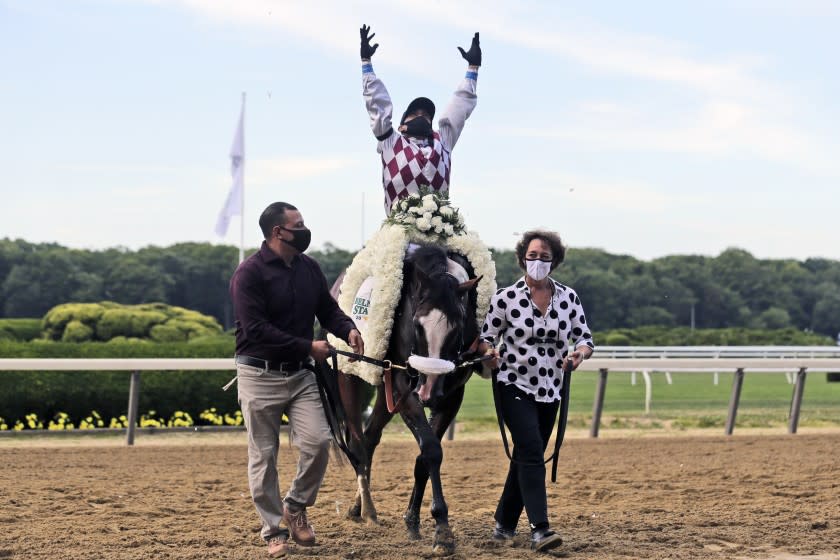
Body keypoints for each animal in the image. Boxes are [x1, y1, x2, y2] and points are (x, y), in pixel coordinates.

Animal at [334, 243, 480, 552]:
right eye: (417, 323)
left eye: (458, 325)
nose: (428, 392)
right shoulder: (404, 387)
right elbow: (432, 450)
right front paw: (442, 529)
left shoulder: (452, 395)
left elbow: (425, 457)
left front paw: (414, 521)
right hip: (349, 374)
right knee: (357, 441)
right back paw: (365, 509)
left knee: (370, 437)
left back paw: (359, 506)